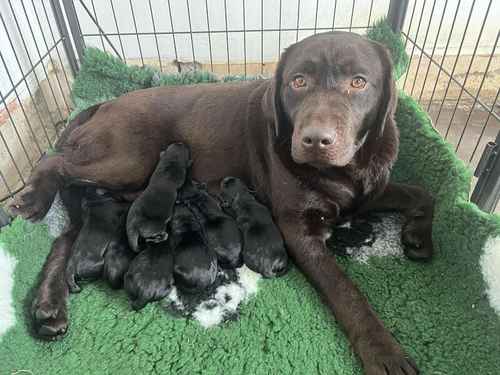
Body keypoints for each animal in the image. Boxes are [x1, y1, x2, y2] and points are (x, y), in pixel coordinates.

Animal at [11, 31, 434, 374]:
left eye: (358, 82)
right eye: (298, 81)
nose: (315, 139)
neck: (345, 172)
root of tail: (103, 104)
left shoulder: (369, 192)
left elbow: (424, 192)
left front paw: (418, 236)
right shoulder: (297, 230)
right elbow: (348, 293)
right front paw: (384, 352)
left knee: (65, 237)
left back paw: (48, 308)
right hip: (129, 160)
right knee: (53, 161)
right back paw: (30, 199)